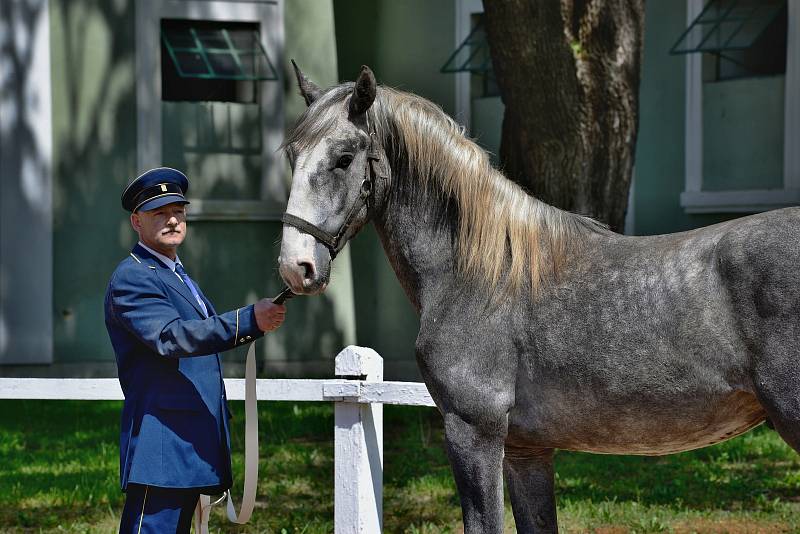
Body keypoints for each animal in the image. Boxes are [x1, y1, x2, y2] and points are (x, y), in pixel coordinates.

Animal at [278, 65, 796, 532]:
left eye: (344, 158)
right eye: (293, 155)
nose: (295, 266)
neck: (481, 273)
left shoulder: (475, 432)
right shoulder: (527, 451)